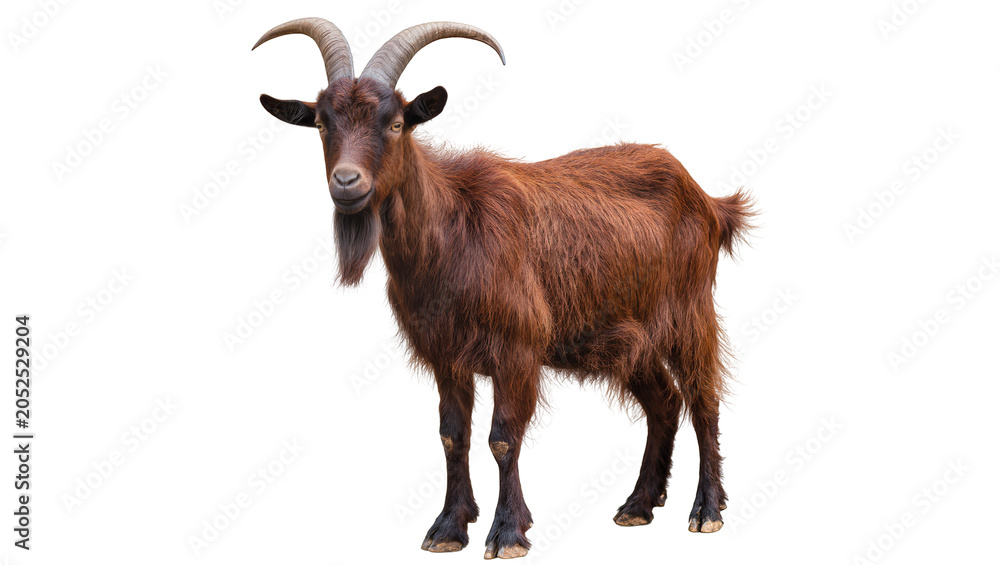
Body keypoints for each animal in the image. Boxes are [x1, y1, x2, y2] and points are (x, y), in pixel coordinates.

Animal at [254, 19, 753, 560]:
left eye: (395, 123)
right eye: (323, 124)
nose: (347, 182)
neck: (453, 232)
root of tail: (710, 201)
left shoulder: (516, 348)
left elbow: (503, 438)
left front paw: (509, 532)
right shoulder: (446, 354)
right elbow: (452, 436)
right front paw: (449, 528)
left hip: (688, 312)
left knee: (704, 398)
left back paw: (706, 510)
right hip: (629, 338)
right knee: (664, 403)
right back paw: (638, 504)